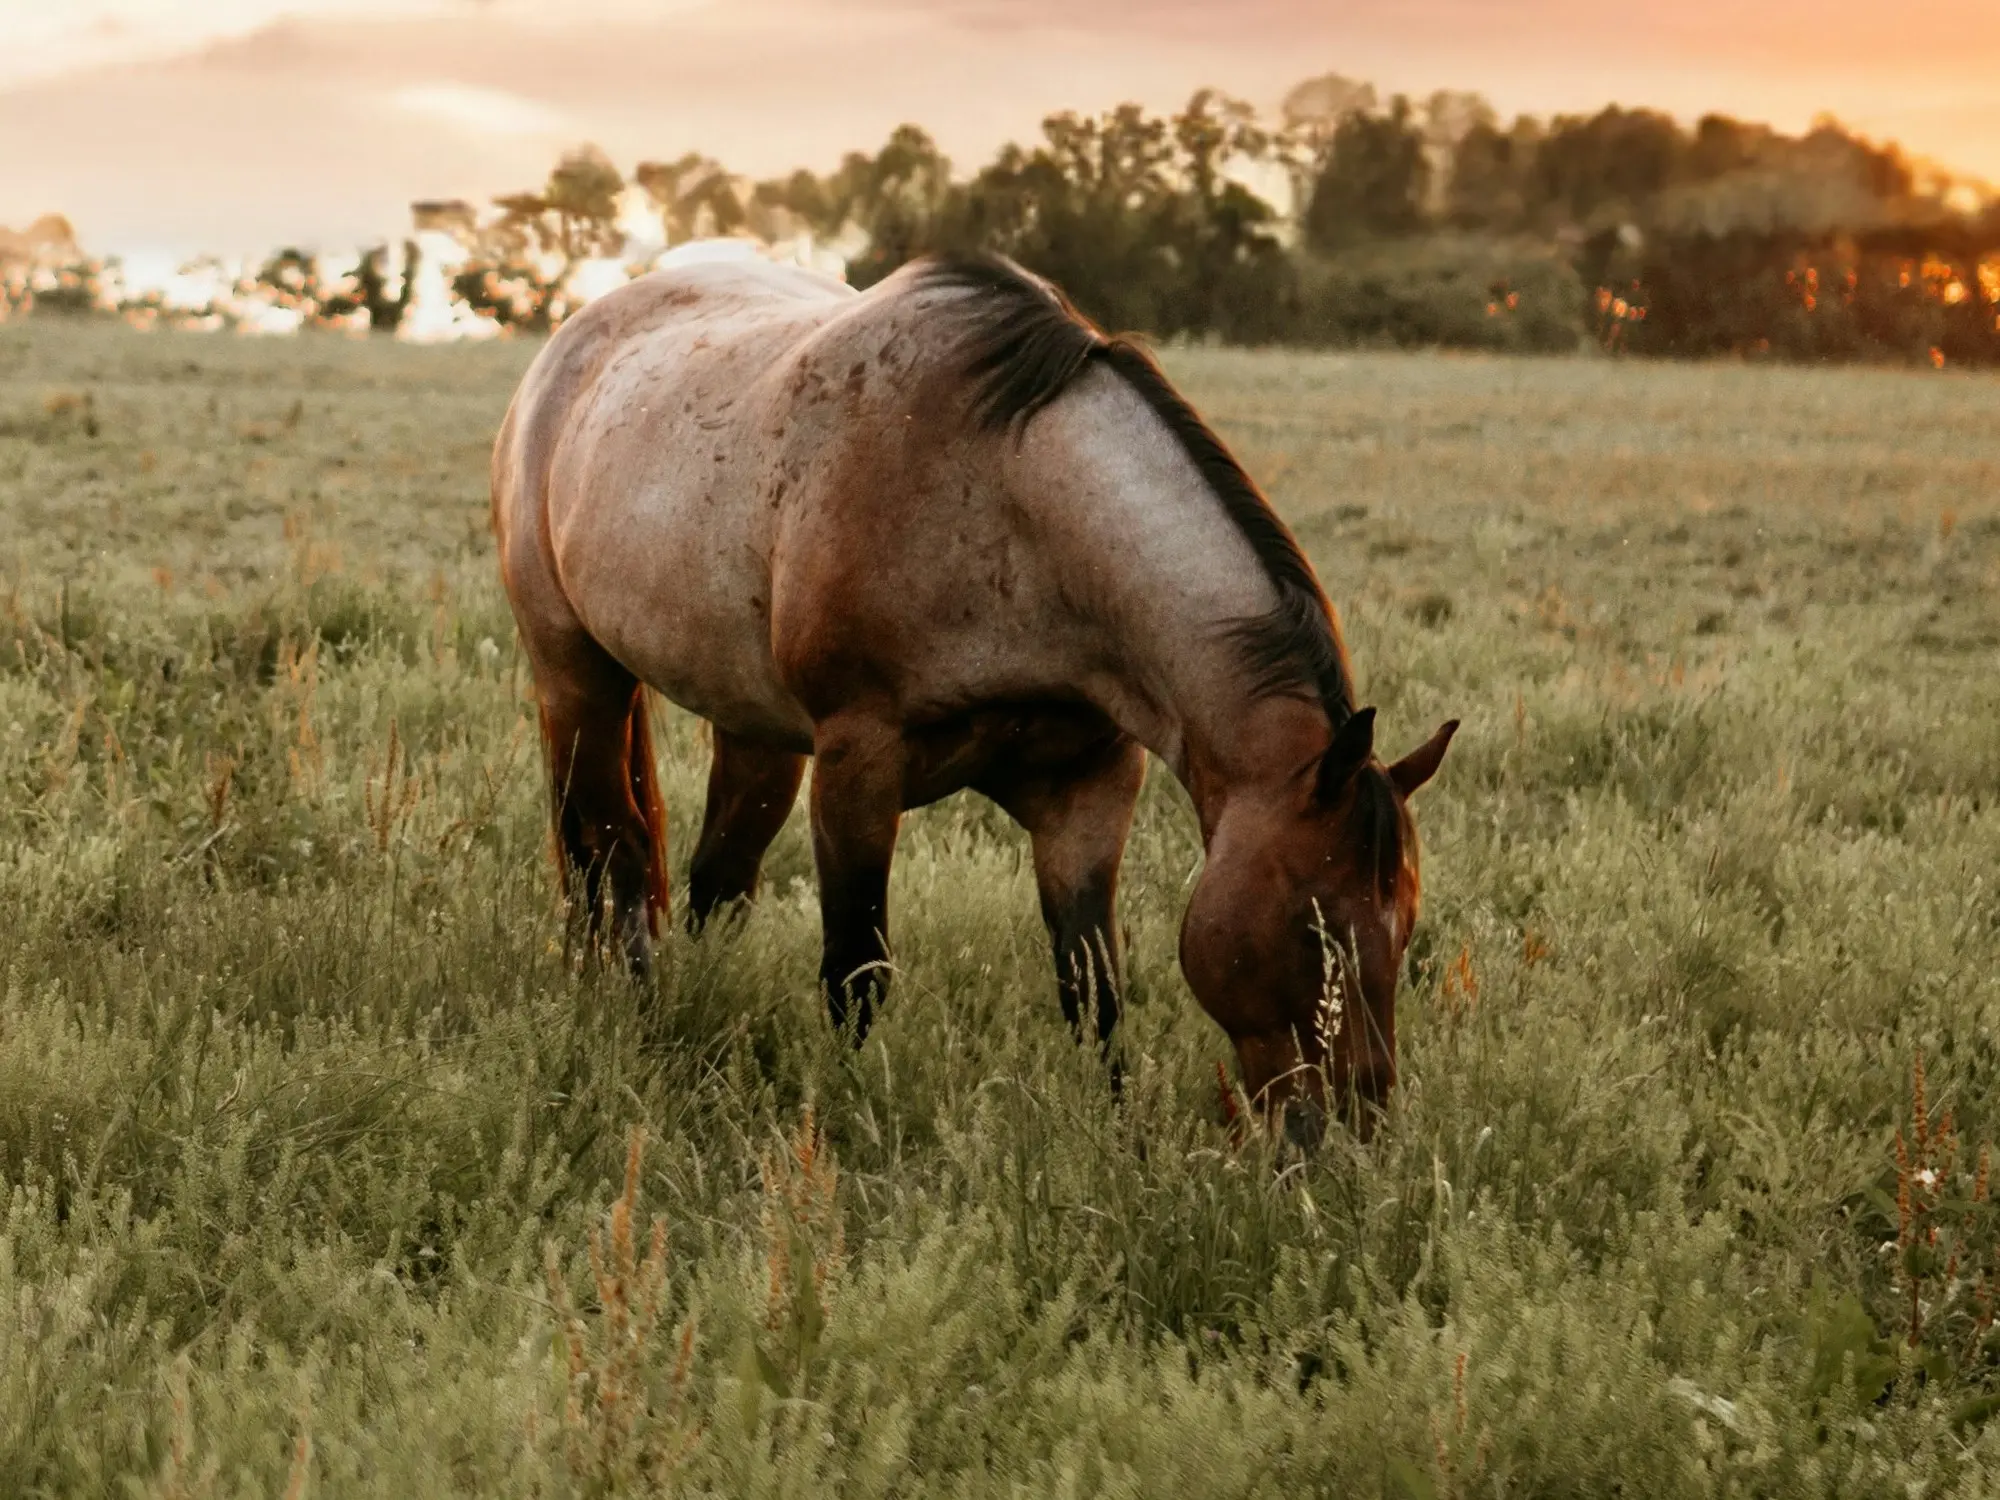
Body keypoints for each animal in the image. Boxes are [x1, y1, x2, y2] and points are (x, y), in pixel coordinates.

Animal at [484, 250, 1456, 1136]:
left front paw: (1110, 1141)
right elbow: (857, 974)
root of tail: (571, 341)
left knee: (715, 878)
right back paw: (635, 1013)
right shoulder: (858, 766)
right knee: (608, 854)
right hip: (576, 677)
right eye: (1316, 929)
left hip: (751, 727)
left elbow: (1092, 986)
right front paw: (854, 1121)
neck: (1007, 507)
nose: (1353, 1131)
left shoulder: (1089, 789)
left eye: (1405, 927)